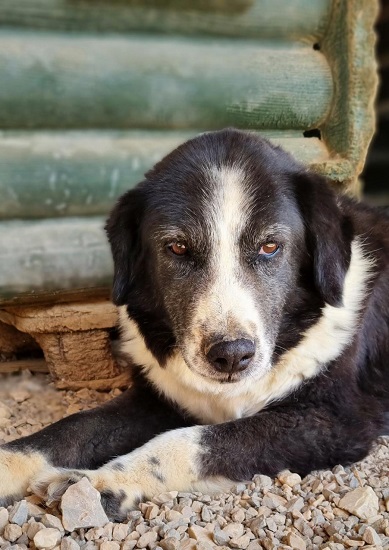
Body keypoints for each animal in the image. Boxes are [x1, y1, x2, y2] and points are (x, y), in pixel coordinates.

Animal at [0, 130, 388, 520]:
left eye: (270, 246)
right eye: (178, 247)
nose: (231, 355)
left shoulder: (333, 422)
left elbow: (190, 441)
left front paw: (98, 483)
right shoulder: (158, 398)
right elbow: (72, 427)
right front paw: (8, 464)